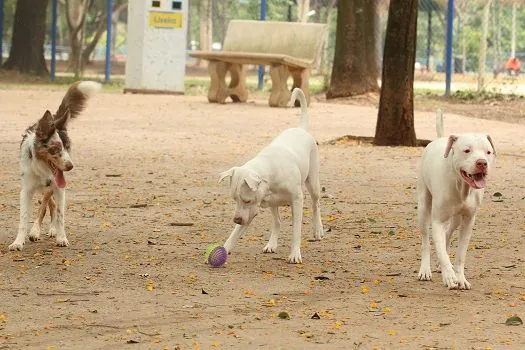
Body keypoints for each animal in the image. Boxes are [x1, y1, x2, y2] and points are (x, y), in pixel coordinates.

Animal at [9, 81, 101, 252]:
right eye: (56, 149)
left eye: (68, 147)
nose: (71, 166)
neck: (42, 169)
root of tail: (54, 118)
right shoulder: (26, 190)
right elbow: (23, 218)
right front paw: (18, 242)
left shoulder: (59, 188)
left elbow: (59, 214)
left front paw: (61, 237)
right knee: (47, 204)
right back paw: (37, 231)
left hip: (50, 187)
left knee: (47, 205)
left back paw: (47, 230)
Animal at [416, 111, 494, 290]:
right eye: (467, 150)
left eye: (488, 152)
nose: (482, 163)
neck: (461, 187)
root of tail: (440, 138)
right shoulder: (437, 221)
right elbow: (439, 249)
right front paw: (449, 277)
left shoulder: (468, 221)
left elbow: (460, 254)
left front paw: (460, 277)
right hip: (423, 207)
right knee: (426, 240)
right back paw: (425, 269)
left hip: (456, 218)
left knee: (447, 233)